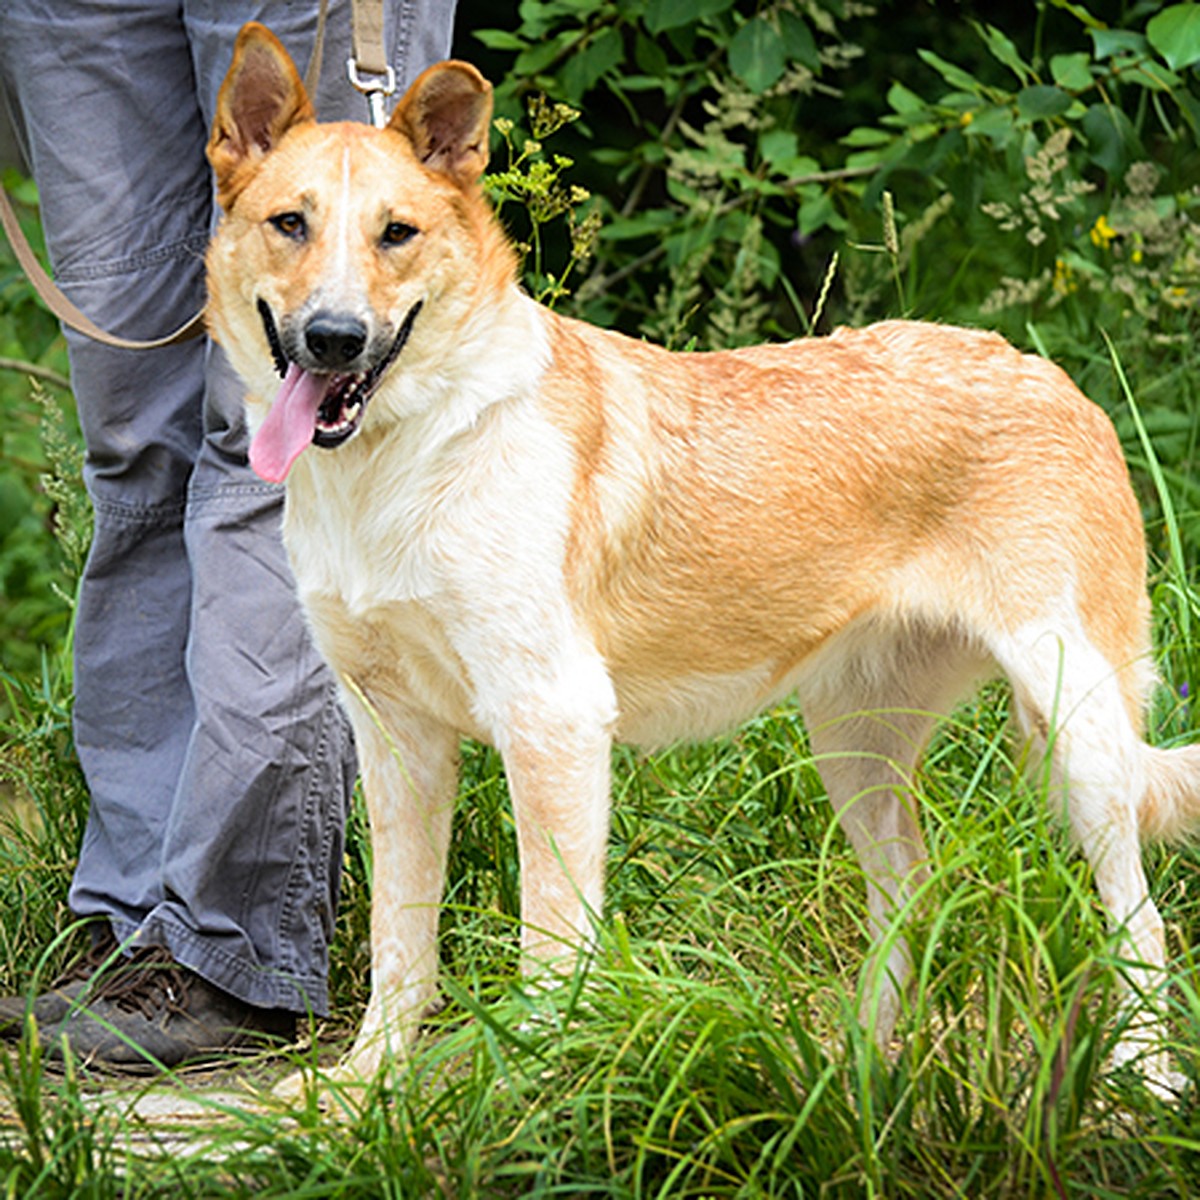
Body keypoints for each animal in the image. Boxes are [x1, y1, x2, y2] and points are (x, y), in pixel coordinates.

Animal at [206, 23, 1200, 1094]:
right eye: (291, 223)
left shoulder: (553, 721)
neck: (401, 458)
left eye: (397, 234)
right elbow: (403, 944)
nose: (334, 339)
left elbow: (549, 951)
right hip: (854, 740)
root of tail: (1054, 377)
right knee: (911, 891)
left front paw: (533, 1088)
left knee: (1140, 922)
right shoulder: (396, 737)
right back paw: (857, 1071)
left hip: (1078, 729)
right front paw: (367, 1086)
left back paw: (1142, 1083)